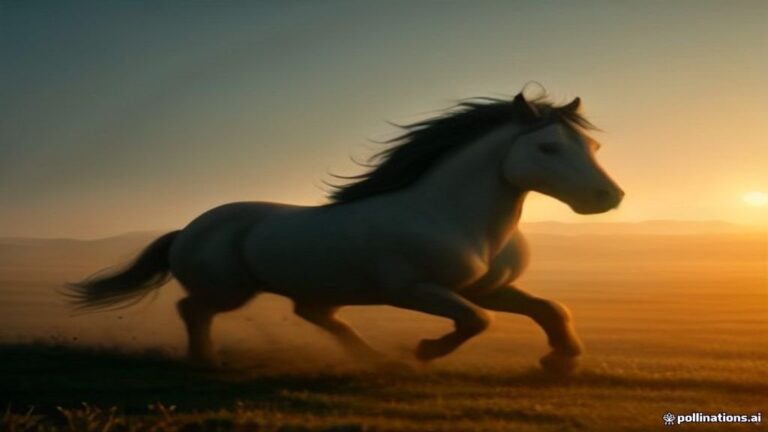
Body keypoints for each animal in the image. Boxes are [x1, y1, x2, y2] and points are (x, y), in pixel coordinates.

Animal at [67, 91, 624, 374]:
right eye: (548, 148)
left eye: (593, 148)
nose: (608, 198)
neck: (457, 218)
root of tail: (187, 228)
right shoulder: (414, 290)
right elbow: (476, 321)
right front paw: (425, 351)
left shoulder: (490, 287)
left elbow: (550, 309)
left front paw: (561, 359)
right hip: (229, 290)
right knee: (193, 310)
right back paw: (206, 360)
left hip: (313, 288)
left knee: (316, 316)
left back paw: (372, 358)